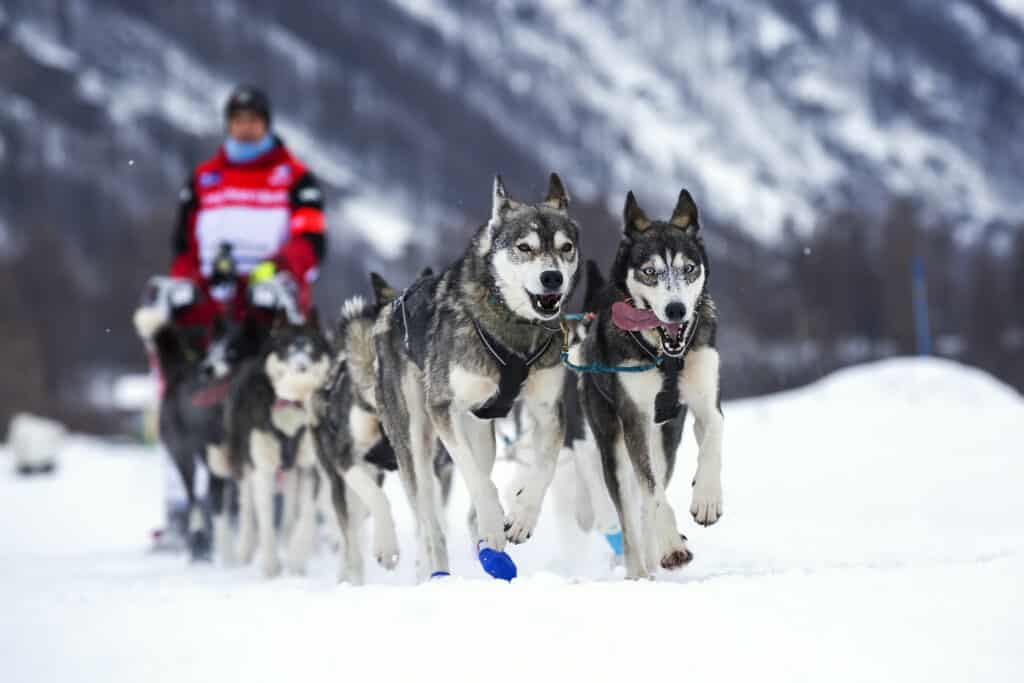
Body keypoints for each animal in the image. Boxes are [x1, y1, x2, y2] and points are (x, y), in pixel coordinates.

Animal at [133, 286, 268, 565]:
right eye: (212, 350)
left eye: (232, 351)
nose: (206, 368)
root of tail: (179, 372)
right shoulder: (219, 464)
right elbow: (220, 508)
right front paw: (229, 553)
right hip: (184, 457)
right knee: (194, 501)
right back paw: (200, 544)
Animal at [225, 311, 331, 577]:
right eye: (287, 349)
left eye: (312, 350)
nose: (301, 367)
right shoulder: (262, 469)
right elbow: (264, 520)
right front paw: (271, 565)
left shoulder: (310, 468)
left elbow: (306, 513)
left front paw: (295, 559)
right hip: (243, 464)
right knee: (247, 508)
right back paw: (246, 547)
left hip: (293, 472)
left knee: (291, 512)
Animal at [376, 174, 585, 581]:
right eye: (524, 247)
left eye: (565, 248)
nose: (552, 278)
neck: (513, 327)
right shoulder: (444, 408)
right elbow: (477, 481)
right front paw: (494, 520)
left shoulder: (547, 408)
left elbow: (543, 466)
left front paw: (521, 515)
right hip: (415, 438)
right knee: (429, 520)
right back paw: (438, 570)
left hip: (481, 432)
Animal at [581, 189, 724, 581]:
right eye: (649, 272)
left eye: (688, 269)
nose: (676, 310)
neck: (666, 355)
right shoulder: (634, 418)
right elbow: (651, 490)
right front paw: (673, 546)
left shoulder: (706, 401)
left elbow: (714, 437)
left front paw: (707, 498)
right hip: (611, 443)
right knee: (632, 514)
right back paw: (640, 571)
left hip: (667, 439)